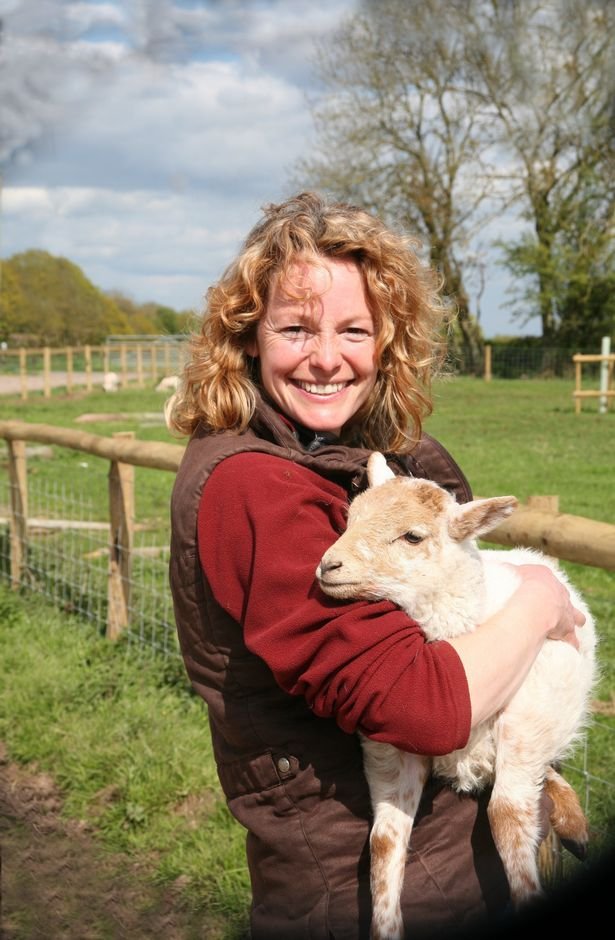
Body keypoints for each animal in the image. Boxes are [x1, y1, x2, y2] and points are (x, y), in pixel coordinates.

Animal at [318, 454, 596, 940]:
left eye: (412, 536)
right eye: (349, 519)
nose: (327, 566)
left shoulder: (526, 722)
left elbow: (506, 815)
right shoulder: (391, 748)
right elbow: (385, 839)